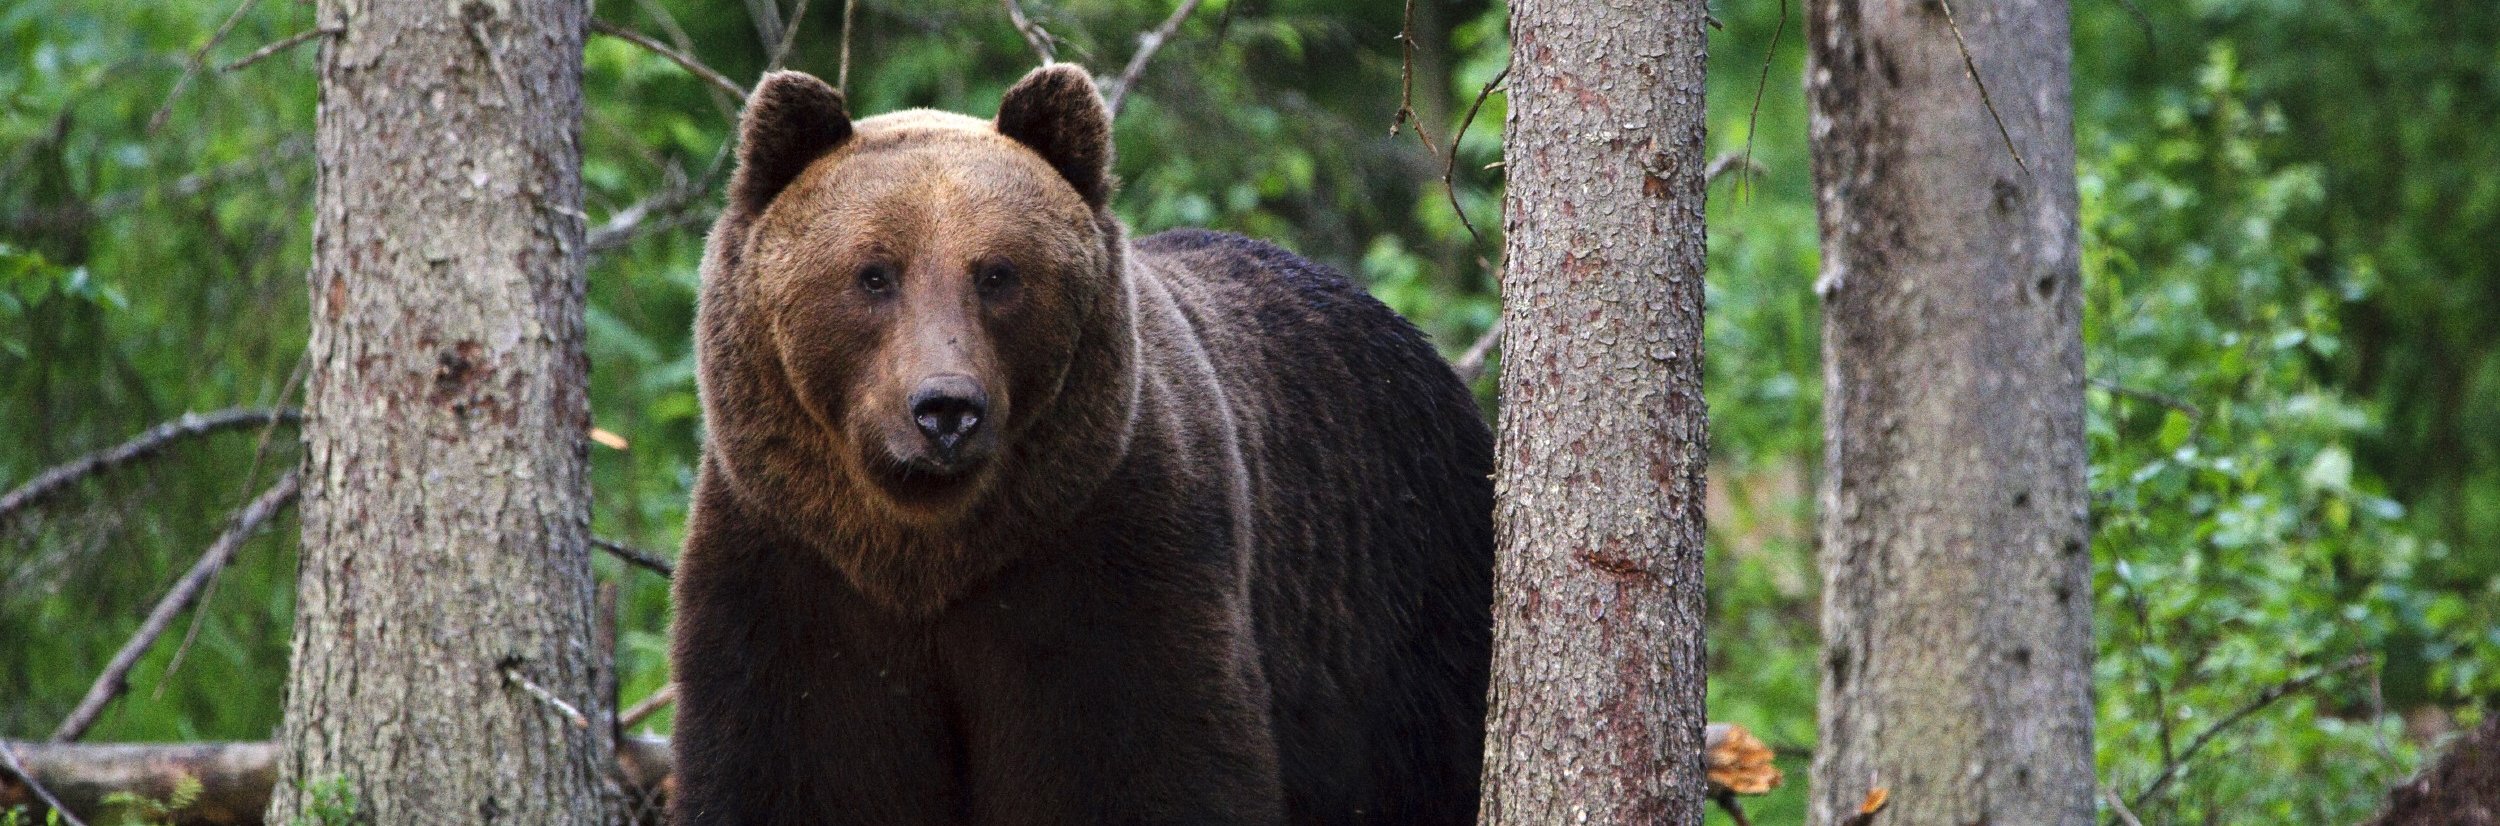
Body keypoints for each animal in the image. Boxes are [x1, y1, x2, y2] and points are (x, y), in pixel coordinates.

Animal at [665, 66, 1490, 826]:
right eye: (873, 274)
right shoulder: (791, 571)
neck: (925, 553)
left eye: (998, 273)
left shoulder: (1110, 557)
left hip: (1407, 599)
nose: (946, 410)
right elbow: (795, 770)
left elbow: (1142, 765)